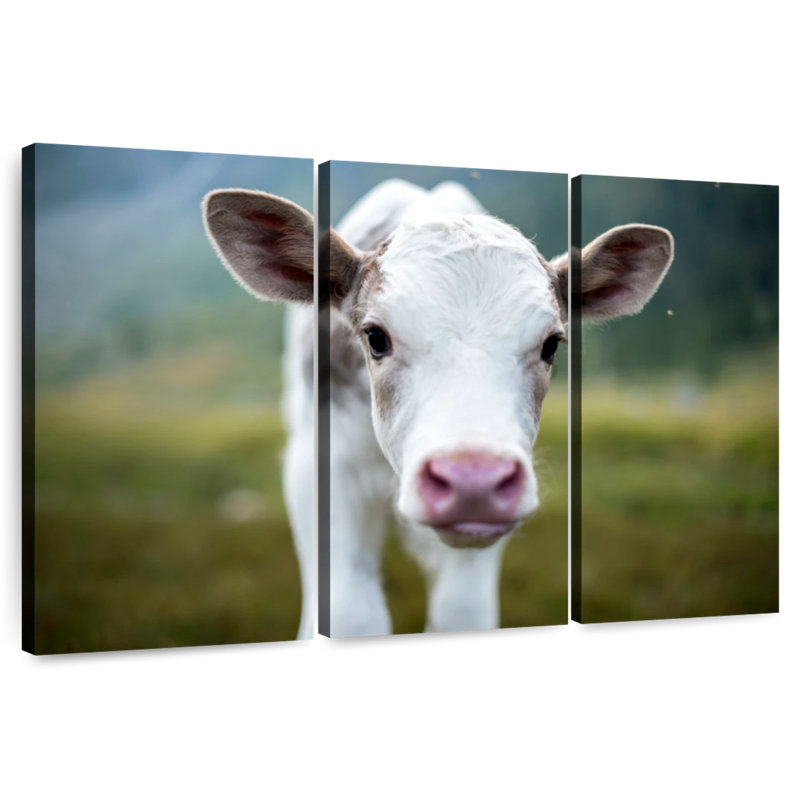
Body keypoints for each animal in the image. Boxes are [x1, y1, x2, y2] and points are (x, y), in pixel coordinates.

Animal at [203, 178, 673, 638]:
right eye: (376, 337)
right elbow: (351, 613)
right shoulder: (317, 468)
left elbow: (462, 612)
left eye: (552, 344)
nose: (473, 481)